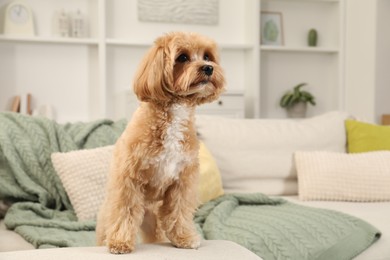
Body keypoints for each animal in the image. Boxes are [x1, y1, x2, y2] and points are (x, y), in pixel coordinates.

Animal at [95, 31, 227, 254]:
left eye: (207, 56)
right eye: (182, 57)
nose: (208, 68)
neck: (175, 111)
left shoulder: (183, 181)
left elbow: (179, 211)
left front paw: (183, 238)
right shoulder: (129, 178)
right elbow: (125, 210)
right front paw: (120, 242)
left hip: (154, 225)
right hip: (106, 221)